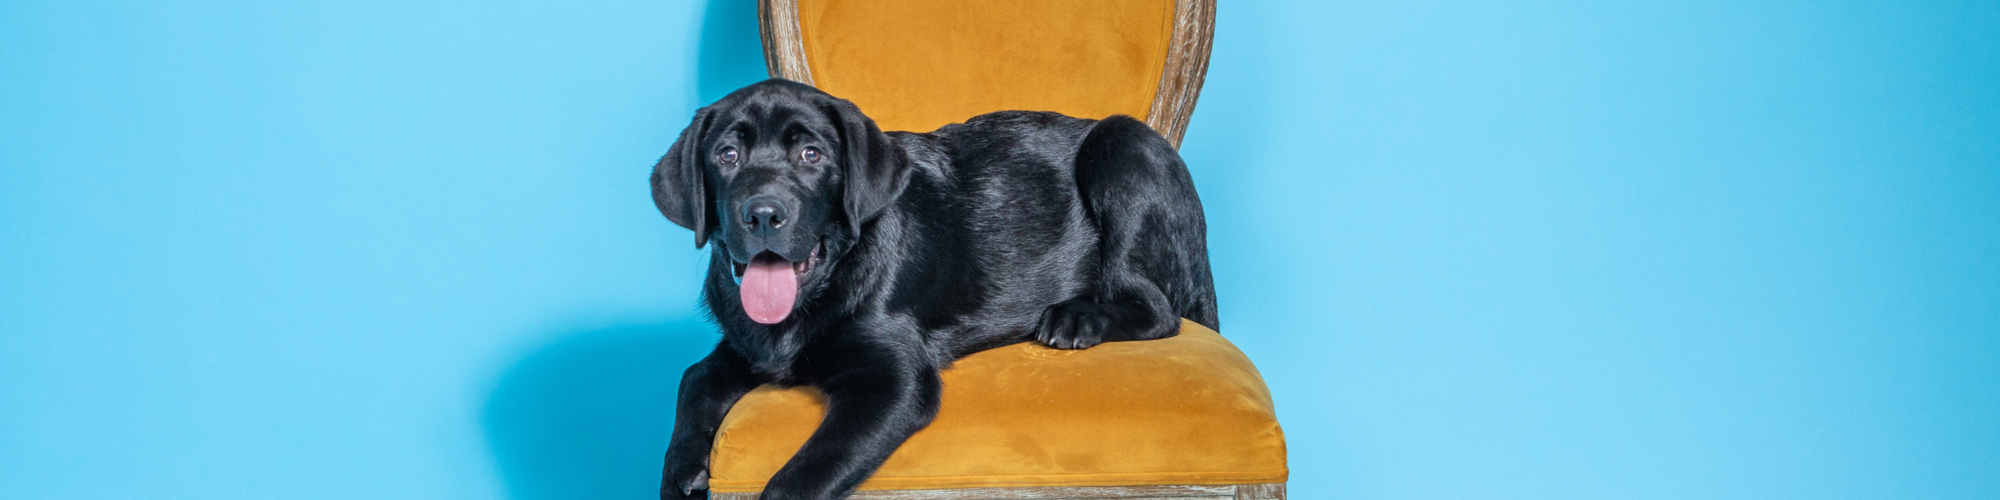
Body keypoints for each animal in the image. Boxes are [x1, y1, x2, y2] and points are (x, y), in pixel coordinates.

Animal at [656, 79, 1216, 500]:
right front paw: (681, 471)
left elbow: (800, 475)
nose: (763, 215)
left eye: (811, 154)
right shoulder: (743, 343)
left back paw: (1077, 318)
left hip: (1121, 145)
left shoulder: (894, 382)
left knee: (1158, 310)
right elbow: (694, 377)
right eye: (727, 154)